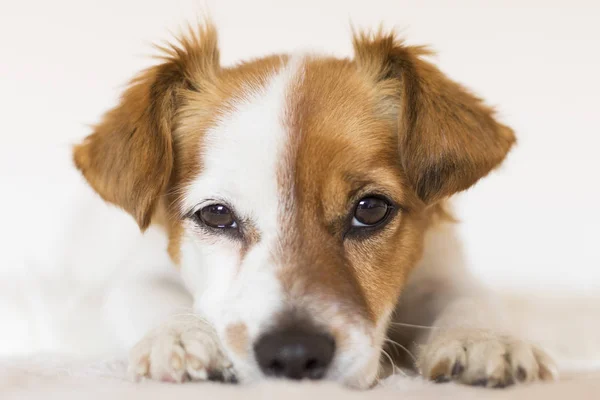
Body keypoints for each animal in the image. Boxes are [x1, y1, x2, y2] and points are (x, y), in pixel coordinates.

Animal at [74, 21, 556, 388]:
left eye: (371, 209)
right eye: (216, 214)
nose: (293, 354)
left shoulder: (439, 267)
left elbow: (466, 297)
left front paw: (482, 338)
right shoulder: (139, 272)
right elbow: (149, 294)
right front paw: (181, 336)